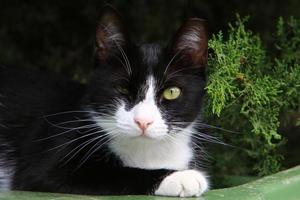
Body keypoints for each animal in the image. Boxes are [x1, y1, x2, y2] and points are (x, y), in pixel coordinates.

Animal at [0, 7, 210, 198]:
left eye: (171, 92)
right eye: (122, 89)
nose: (143, 121)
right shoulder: (45, 162)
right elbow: (116, 174)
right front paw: (180, 177)